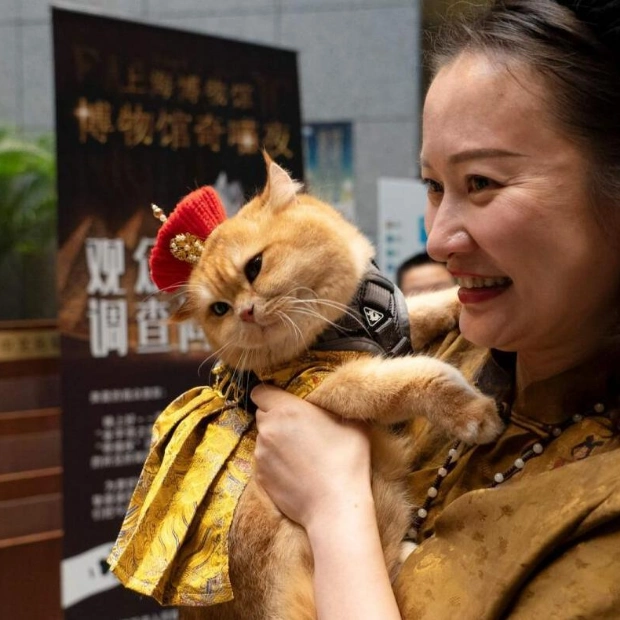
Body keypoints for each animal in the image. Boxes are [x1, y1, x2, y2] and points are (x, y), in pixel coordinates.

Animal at [109, 157, 502, 616]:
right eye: (220, 309)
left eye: (254, 267)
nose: (245, 312)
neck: (345, 321)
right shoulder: (333, 384)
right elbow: (417, 377)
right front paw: (475, 414)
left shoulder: (396, 326)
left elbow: (427, 308)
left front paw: (462, 302)